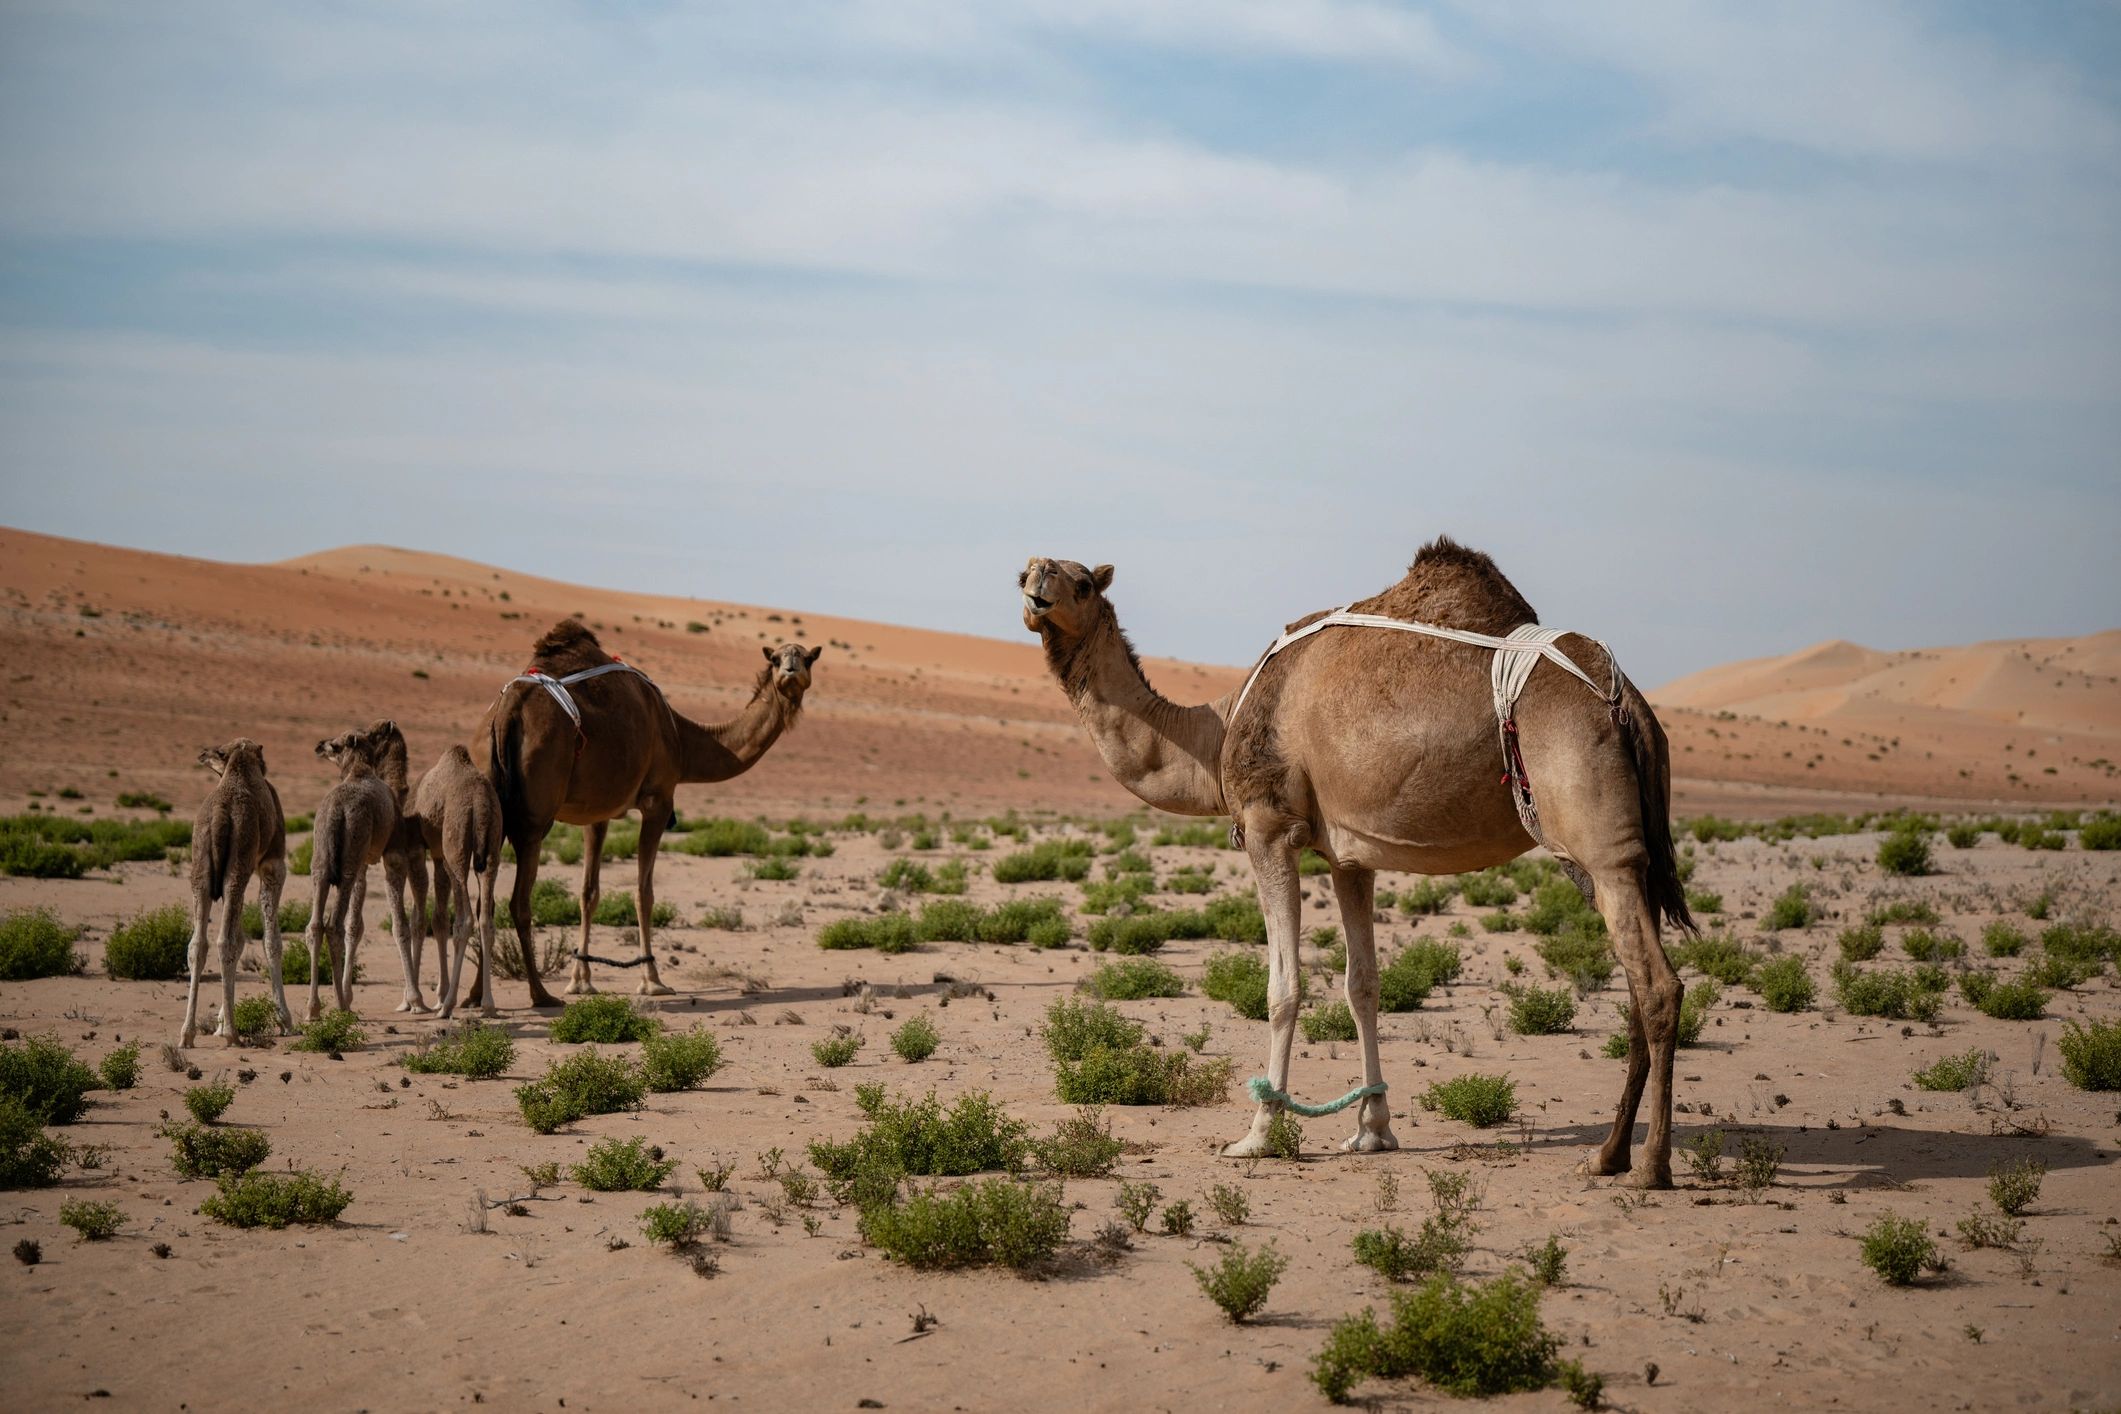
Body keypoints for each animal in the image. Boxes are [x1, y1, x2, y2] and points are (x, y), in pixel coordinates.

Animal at [180, 738, 290, 1047]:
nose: (202, 754)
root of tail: (220, 815)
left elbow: (241, 940)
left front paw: (218, 1022)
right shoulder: (273, 864)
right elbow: (271, 941)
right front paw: (285, 1020)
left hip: (201, 870)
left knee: (198, 944)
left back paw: (188, 1034)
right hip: (237, 868)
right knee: (225, 941)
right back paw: (232, 1033)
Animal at [304, 721, 402, 1020]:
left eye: (335, 745)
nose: (319, 745)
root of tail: (338, 812)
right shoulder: (364, 863)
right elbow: (355, 925)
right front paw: (347, 995)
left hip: (320, 865)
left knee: (314, 925)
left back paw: (312, 1009)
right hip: (348, 863)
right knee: (333, 925)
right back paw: (341, 1004)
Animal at [412, 744, 503, 1019]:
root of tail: (478, 803)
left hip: (456, 848)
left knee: (465, 921)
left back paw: (448, 1005)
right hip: (493, 847)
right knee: (486, 919)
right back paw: (488, 1005)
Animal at [474, 621, 822, 1005]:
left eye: (807, 658)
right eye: (776, 658)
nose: (790, 670)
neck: (682, 740)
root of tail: (506, 713)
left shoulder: (597, 811)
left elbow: (588, 892)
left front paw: (581, 980)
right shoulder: (659, 801)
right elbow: (644, 892)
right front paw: (652, 980)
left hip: (490, 802)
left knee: (483, 900)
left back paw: (475, 995)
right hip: (535, 815)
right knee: (519, 901)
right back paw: (540, 995)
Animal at [1020, 539, 1695, 1187]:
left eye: (1082, 583)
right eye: (1025, 571)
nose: (1037, 589)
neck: (1220, 730)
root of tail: (1629, 704)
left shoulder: (1268, 828)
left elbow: (1283, 988)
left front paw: (1258, 1135)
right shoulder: (1350, 856)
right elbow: (1362, 985)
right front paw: (1372, 1130)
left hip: (1599, 840)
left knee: (1657, 986)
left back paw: (1650, 1166)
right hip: (1608, 856)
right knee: (1635, 987)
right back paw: (1608, 1155)